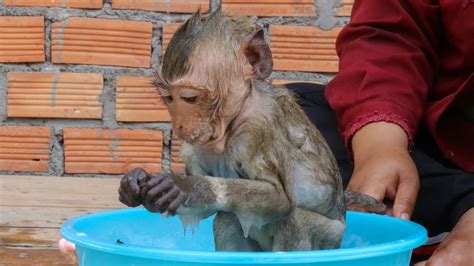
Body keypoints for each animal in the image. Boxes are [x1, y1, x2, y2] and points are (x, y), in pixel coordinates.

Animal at [119, 10, 386, 251]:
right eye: (169, 99)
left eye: (189, 98)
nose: (180, 125)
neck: (233, 120)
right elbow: (206, 208)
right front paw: (136, 184)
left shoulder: (257, 131)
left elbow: (280, 199)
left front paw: (181, 185)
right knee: (228, 217)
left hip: (331, 236)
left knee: (294, 219)